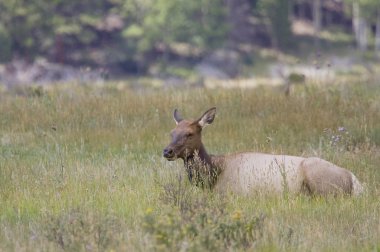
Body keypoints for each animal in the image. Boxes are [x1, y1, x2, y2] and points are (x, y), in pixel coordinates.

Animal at [162, 107, 364, 196]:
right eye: (172, 132)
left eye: (189, 134)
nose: (167, 151)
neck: (213, 174)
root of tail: (355, 180)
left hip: (320, 180)